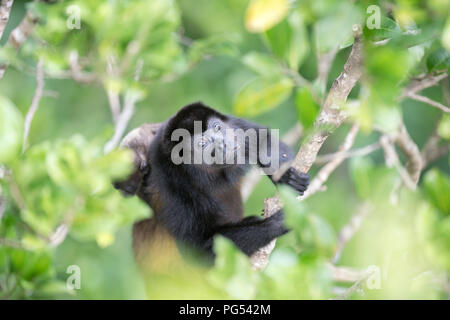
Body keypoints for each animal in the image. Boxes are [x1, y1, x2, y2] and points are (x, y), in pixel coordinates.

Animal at [114, 102, 310, 268]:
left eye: (217, 127)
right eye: (202, 143)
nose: (222, 142)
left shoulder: (234, 125)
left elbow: (262, 138)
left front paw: (285, 176)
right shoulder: (172, 184)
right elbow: (199, 249)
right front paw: (279, 222)